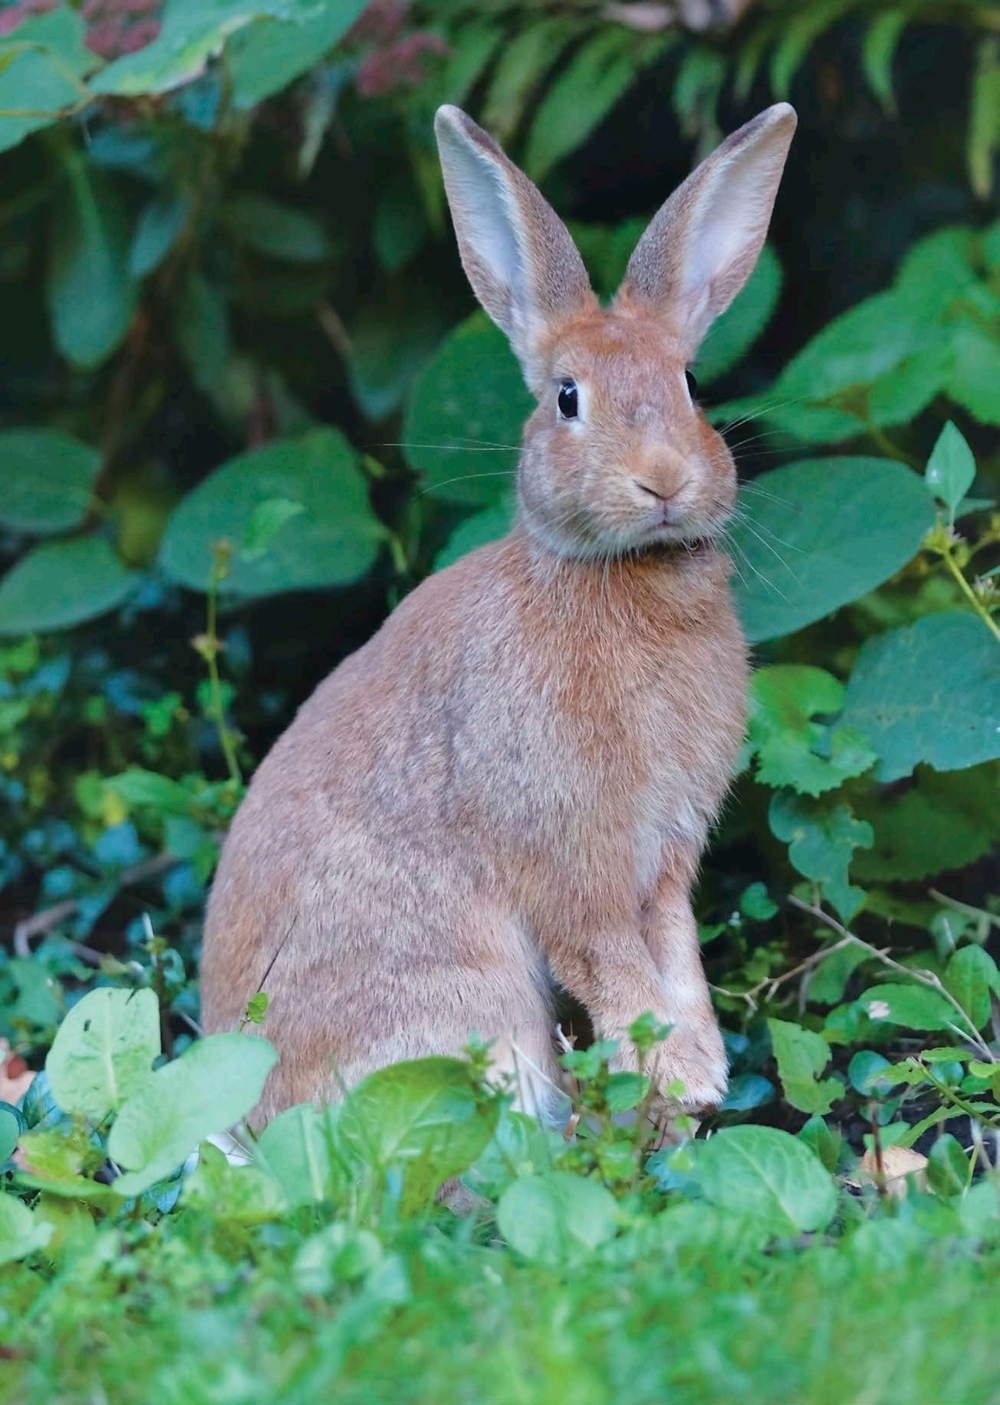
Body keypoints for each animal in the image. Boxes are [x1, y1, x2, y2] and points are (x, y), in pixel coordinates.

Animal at [200, 99, 797, 1129]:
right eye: (567, 399)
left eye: (690, 385)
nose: (665, 480)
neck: (618, 577)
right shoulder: (572, 860)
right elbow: (612, 964)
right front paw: (679, 1073)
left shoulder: (664, 864)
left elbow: (676, 955)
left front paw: (701, 1072)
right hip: (465, 1014)